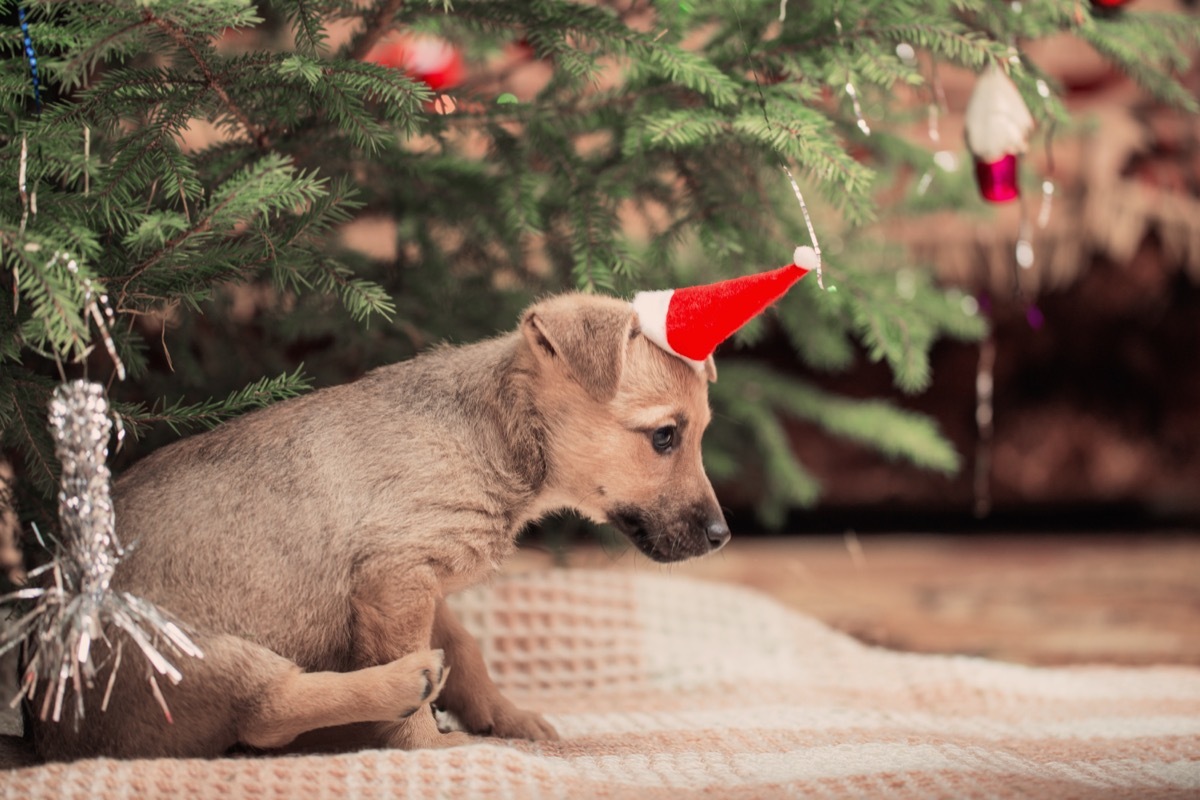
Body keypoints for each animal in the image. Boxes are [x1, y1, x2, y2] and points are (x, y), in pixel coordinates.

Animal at [28, 291, 724, 762]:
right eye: (665, 436)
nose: (722, 537)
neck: (498, 432)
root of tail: (48, 723)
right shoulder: (396, 575)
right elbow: (423, 670)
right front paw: (429, 745)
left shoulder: (417, 582)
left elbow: (466, 653)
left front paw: (505, 716)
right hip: (198, 653)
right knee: (266, 712)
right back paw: (392, 688)